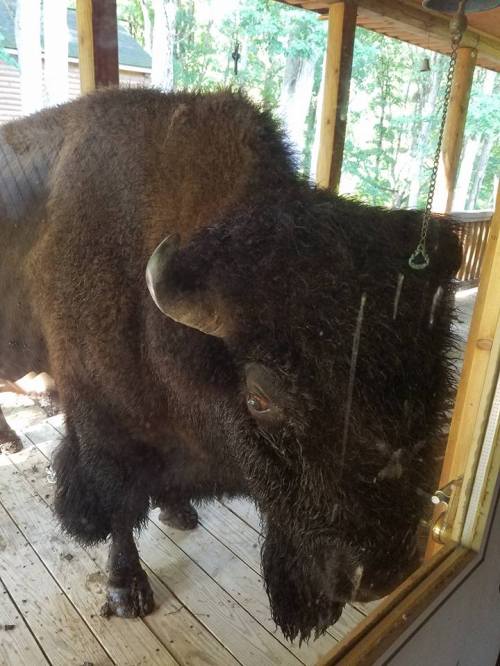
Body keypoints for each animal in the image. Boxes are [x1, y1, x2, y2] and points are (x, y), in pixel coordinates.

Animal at [0, 88, 461, 642]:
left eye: (439, 384)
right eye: (259, 398)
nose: (378, 574)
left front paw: (179, 512)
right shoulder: (105, 430)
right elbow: (119, 507)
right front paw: (126, 590)